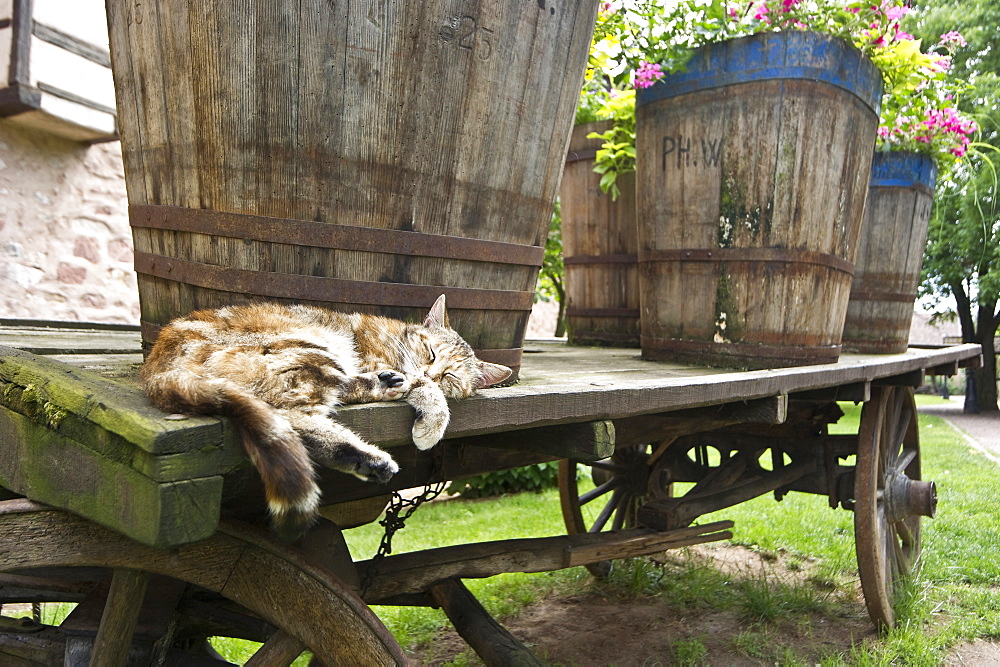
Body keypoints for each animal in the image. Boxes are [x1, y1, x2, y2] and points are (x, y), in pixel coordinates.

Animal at [140, 294, 512, 540]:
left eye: (451, 376)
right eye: (431, 352)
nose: (431, 371)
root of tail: (159, 367)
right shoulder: (382, 359)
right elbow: (425, 389)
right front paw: (431, 421)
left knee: (297, 420)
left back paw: (366, 458)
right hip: (307, 347)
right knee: (293, 413)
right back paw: (381, 394)